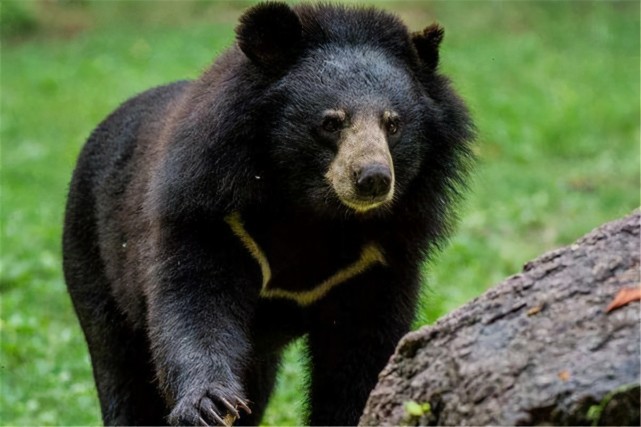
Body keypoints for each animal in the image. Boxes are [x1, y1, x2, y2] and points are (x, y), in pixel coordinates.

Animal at [62, 2, 472, 424]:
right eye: (331, 122)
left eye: (393, 124)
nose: (373, 178)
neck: (312, 210)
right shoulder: (210, 215)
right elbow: (194, 306)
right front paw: (210, 403)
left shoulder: (377, 257)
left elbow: (362, 348)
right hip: (93, 256)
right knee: (120, 367)